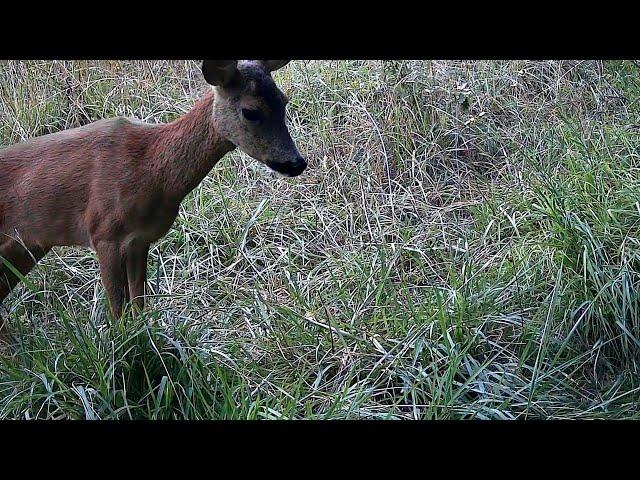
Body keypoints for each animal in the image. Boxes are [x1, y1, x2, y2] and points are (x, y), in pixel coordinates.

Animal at [0, 59, 308, 334]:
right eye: (250, 111)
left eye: (284, 101)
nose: (296, 163)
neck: (151, 170)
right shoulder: (103, 232)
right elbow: (117, 311)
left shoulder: (140, 240)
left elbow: (138, 305)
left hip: (24, 248)